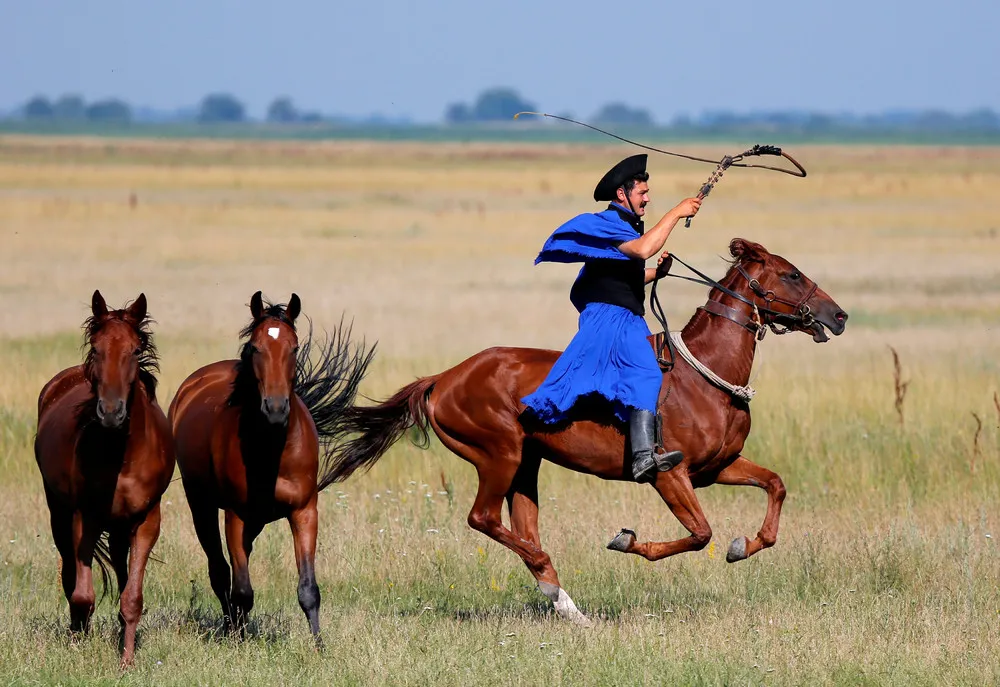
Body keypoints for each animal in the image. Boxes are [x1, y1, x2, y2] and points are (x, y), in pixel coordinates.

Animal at [34, 291, 174, 668]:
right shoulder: (85, 517)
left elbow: (132, 597)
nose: (111, 413)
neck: (121, 456)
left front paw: (126, 660)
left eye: (136, 351)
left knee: (124, 574)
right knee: (70, 574)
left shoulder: (147, 521)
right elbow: (82, 594)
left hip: (122, 527)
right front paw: (76, 645)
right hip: (59, 513)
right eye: (96, 349)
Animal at [168, 291, 374, 645]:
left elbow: (308, 589)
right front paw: (240, 639)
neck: (272, 449)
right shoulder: (235, 514)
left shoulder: (304, 511)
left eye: (294, 347)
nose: (276, 409)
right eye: (255, 347)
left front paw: (319, 646)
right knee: (220, 570)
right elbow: (242, 589)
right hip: (201, 504)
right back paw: (230, 627)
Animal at [326, 238, 848, 625]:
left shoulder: (716, 468)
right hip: (500, 455)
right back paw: (551, 579)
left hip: (526, 465)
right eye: (791, 274)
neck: (705, 376)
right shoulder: (667, 474)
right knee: (483, 518)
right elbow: (700, 533)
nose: (838, 316)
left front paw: (744, 546)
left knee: (522, 528)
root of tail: (443, 379)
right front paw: (628, 541)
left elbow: (775, 486)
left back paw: (564, 602)